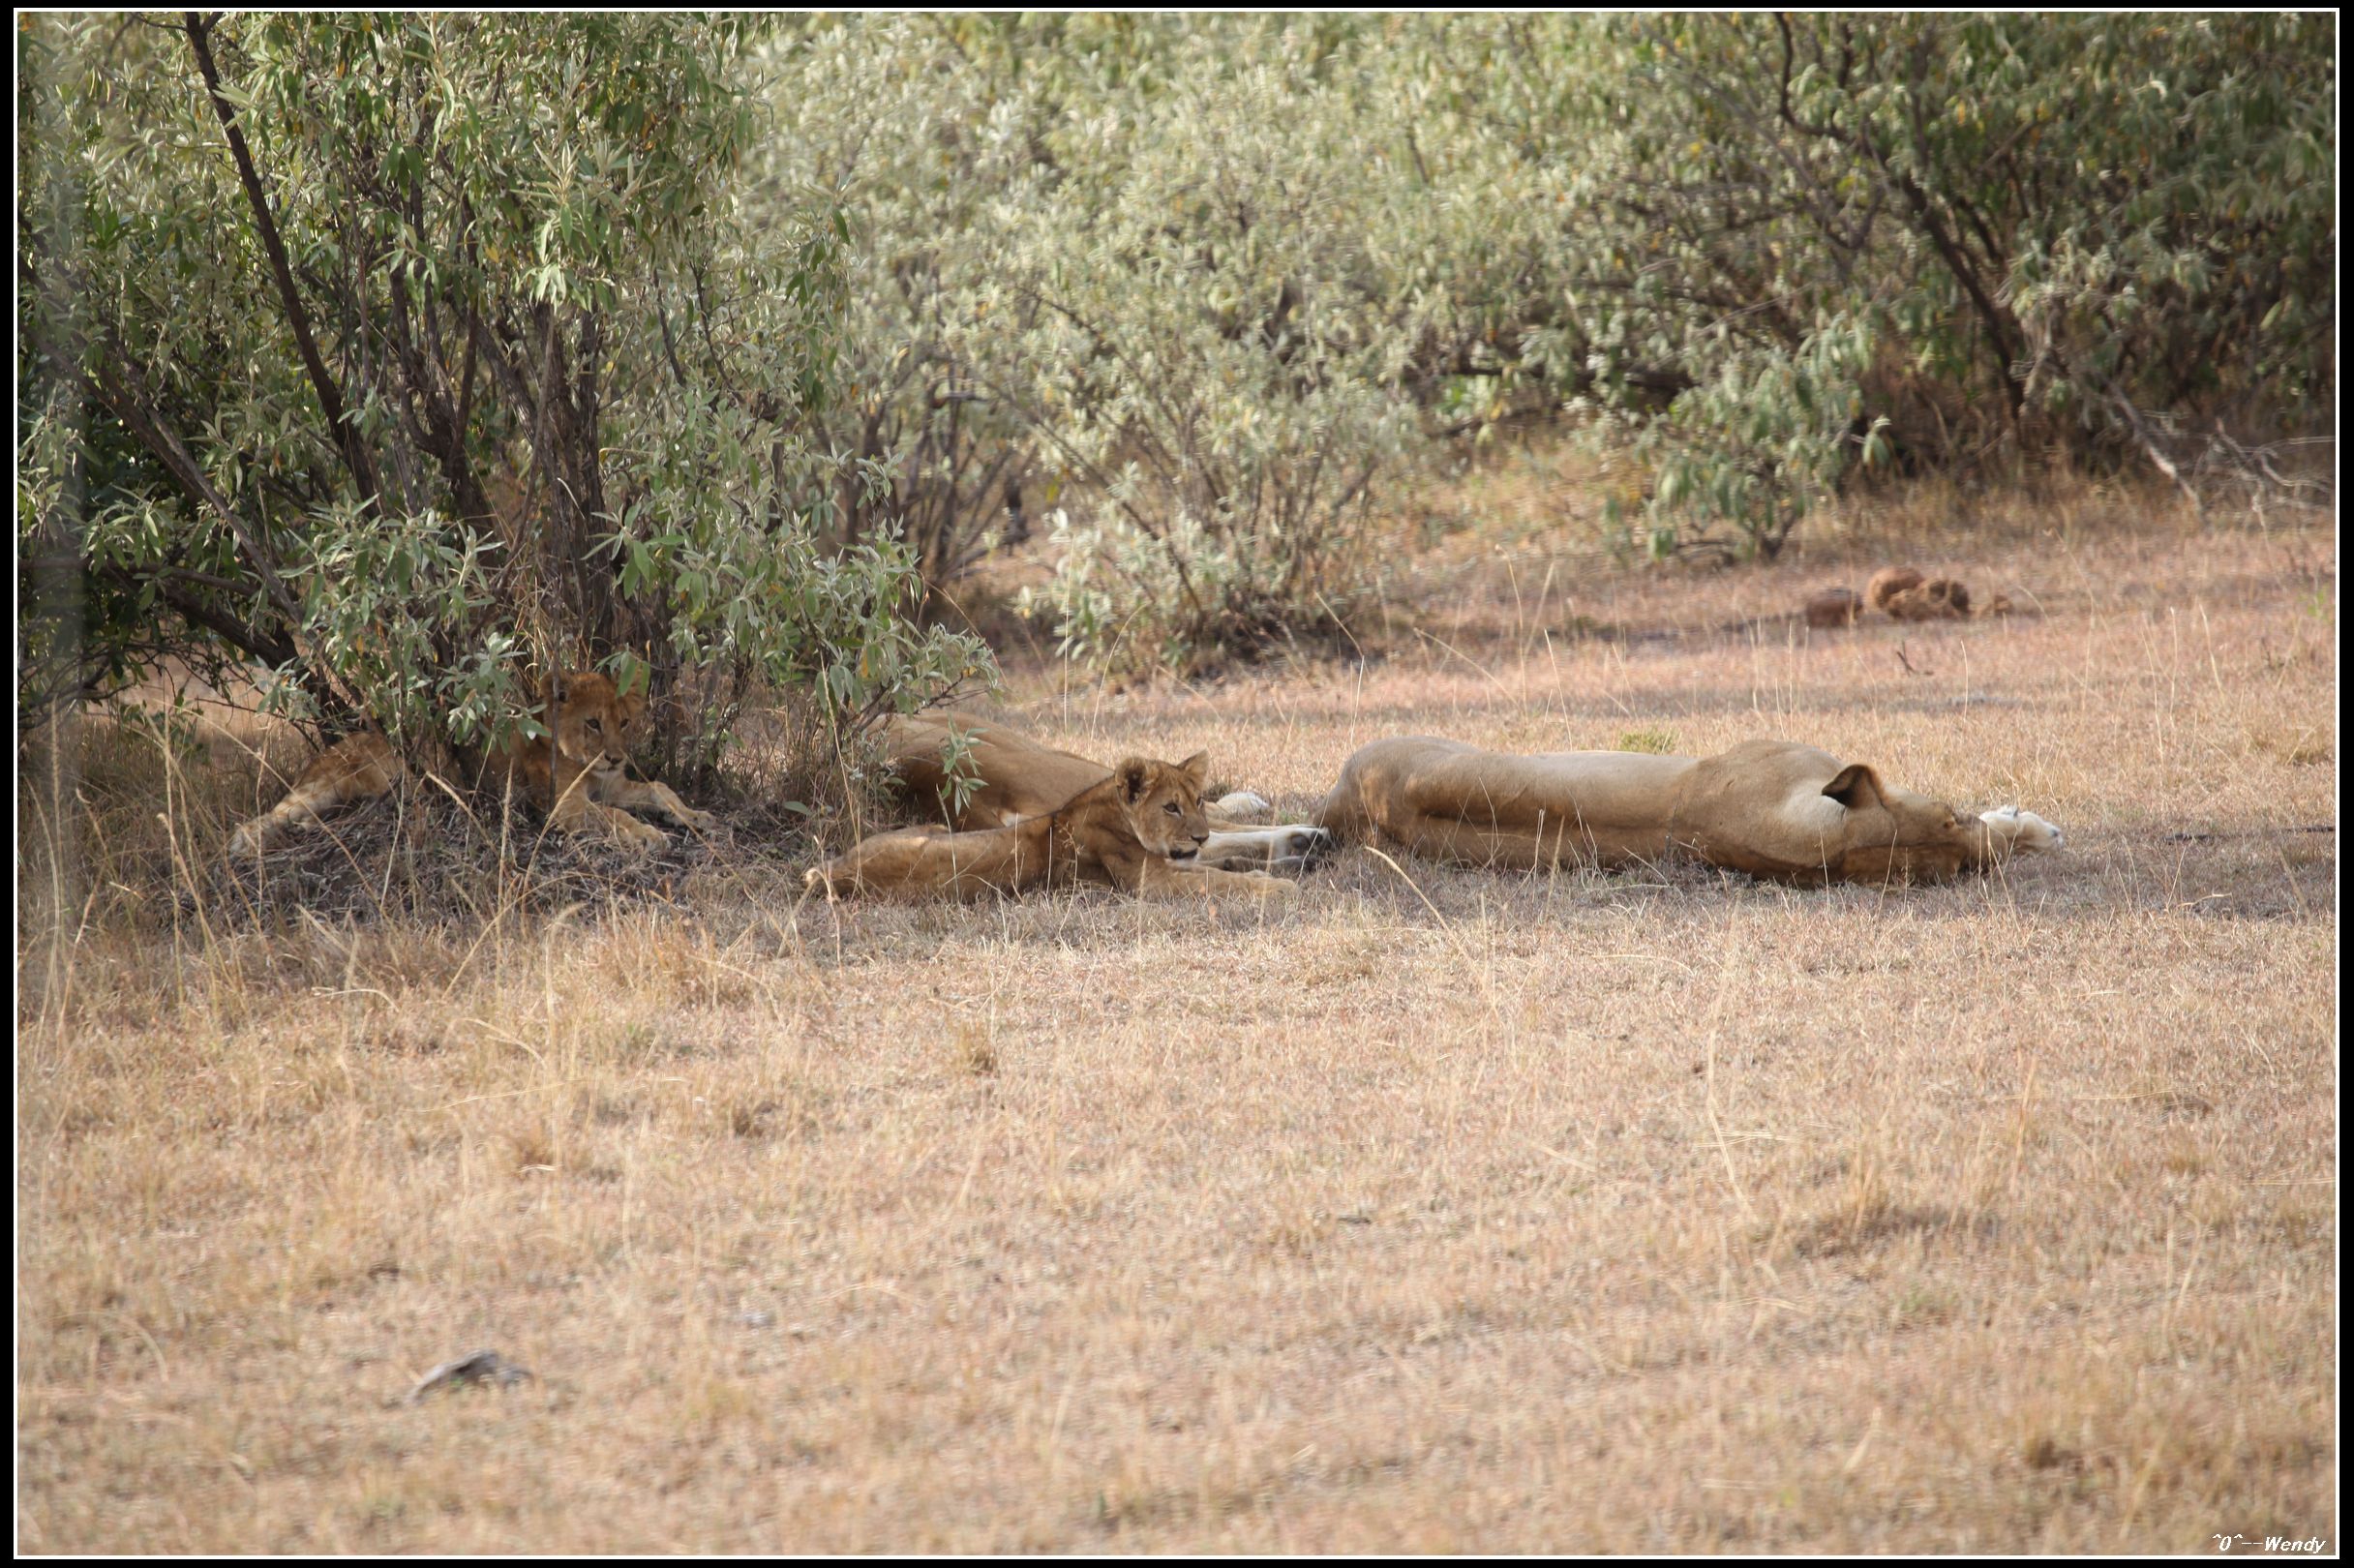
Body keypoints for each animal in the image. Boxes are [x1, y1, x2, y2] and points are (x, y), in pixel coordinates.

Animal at [226, 663, 710, 857]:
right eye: (593, 722)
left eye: (624, 722)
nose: (614, 755)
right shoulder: (564, 806)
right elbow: (614, 818)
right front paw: (649, 836)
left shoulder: (613, 784)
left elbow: (659, 789)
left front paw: (694, 816)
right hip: (326, 784)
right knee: (273, 813)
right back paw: (246, 843)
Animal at [804, 748, 1289, 899]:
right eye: (1171, 807)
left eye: (1198, 801)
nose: (1202, 836)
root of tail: (831, 874)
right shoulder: (1151, 882)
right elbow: (1217, 882)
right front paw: (1277, 886)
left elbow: (1213, 869)